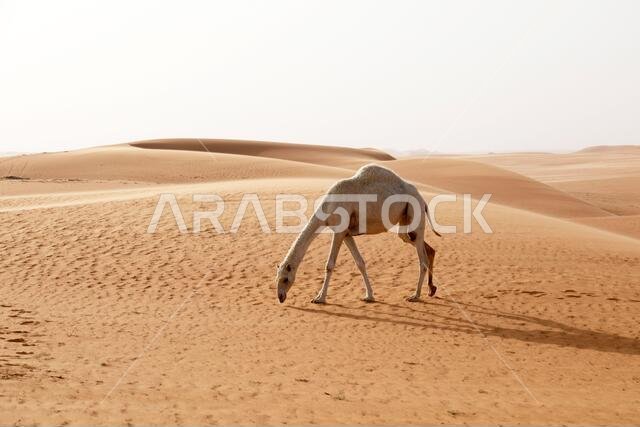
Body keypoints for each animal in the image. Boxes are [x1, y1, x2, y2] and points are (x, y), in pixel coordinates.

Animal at [276, 164, 441, 304]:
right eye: (276, 278)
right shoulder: (347, 234)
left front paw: (320, 298)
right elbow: (360, 263)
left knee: (422, 259)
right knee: (419, 244)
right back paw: (431, 289)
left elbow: (329, 265)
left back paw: (415, 295)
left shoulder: (339, 231)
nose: (280, 297)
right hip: (405, 220)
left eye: (285, 279)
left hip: (414, 210)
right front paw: (369, 296)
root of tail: (422, 199)